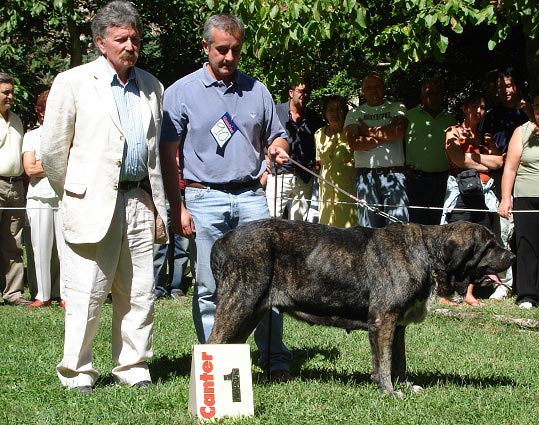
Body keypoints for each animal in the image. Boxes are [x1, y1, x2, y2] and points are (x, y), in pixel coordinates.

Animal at [207, 220, 516, 396]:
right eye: (490, 245)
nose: (512, 255)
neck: (428, 253)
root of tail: (222, 241)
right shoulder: (383, 320)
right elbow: (384, 362)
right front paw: (389, 392)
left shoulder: (397, 325)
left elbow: (398, 361)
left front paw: (404, 386)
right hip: (239, 305)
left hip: (249, 313)